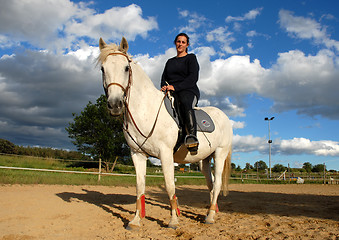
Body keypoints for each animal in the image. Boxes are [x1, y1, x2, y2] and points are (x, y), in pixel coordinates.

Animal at [97, 37, 232, 229]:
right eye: (103, 69)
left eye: (126, 68)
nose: (115, 105)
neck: (147, 109)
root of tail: (224, 116)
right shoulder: (137, 154)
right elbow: (140, 187)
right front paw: (136, 220)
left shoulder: (165, 154)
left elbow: (169, 186)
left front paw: (173, 220)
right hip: (204, 160)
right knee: (211, 183)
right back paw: (212, 211)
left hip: (220, 153)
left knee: (218, 182)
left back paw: (211, 217)